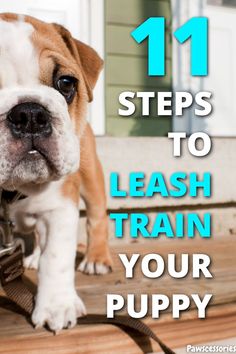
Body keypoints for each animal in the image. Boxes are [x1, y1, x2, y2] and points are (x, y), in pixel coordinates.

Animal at [0, 13, 112, 332]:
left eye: (65, 83)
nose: (29, 114)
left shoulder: (60, 208)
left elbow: (57, 258)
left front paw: (56, 306)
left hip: (91, 178)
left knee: (97, 219)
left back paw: (96, 259)